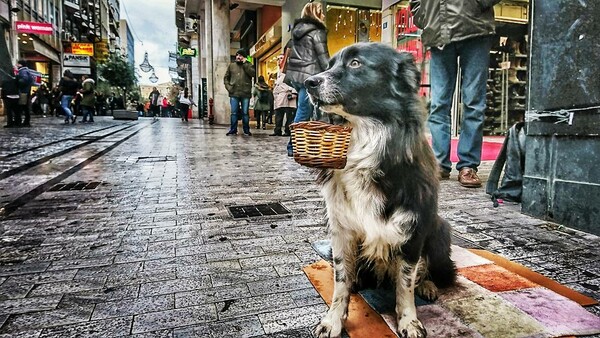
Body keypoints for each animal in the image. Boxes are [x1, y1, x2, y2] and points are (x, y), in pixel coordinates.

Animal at [308, 43, 458, 338]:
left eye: (355, 63)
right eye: (329, 65)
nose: (309, 82)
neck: (366, 137)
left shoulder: (412, 231)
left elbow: (405, 284)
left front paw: (409, 321)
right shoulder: (341, 231)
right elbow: (340, 282)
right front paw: (333, 320)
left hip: (440, 229)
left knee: (428, 271)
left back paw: (428, 285)